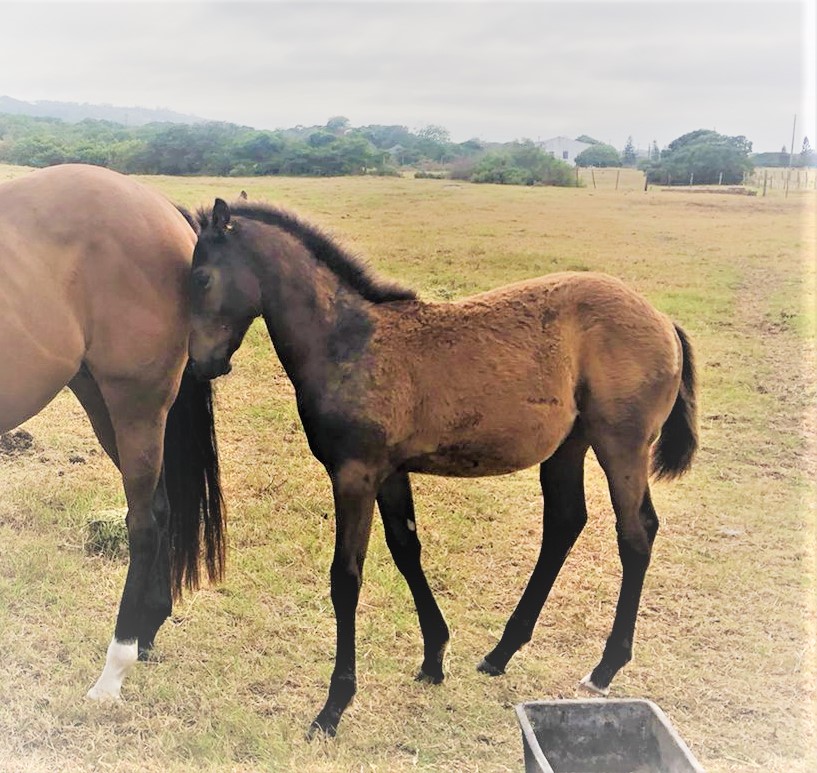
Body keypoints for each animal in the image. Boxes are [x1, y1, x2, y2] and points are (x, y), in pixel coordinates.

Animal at [0, 164, 226, 701]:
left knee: (143, 525)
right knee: (162, 512)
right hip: (105, 402)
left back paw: (114, 667)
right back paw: (147, 631)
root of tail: (162, 208)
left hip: (135, 405)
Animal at [187, 197, 698, 738]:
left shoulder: (354, 473)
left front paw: (333, 707)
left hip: (621, 444)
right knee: (567, 523)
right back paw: (501, 653)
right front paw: (434, 658)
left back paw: (604, 668)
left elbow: (346, 578)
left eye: (200, 277)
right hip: (569, 447)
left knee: (635, 534)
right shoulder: (389, 472)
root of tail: (664, 320)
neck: (350, 341)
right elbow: (407, 551)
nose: (200, 365)